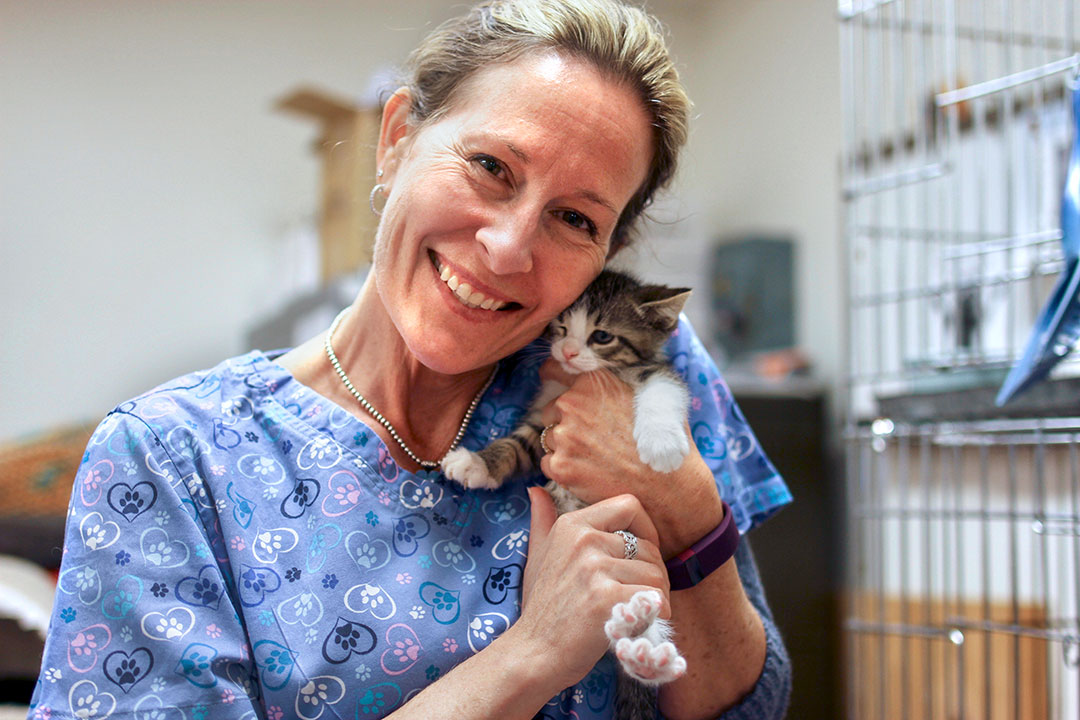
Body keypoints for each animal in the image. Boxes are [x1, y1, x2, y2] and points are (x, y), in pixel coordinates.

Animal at [442, 268, 695, 716]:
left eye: (602, 336)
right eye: (560, 327)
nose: (568, 351)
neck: (577, 378)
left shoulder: (657, 371)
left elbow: (663, 389)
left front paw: (662, 444)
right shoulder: (545, 415)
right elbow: (520, 442)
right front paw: (477, 464)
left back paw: (648, 658)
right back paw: (637, 645)